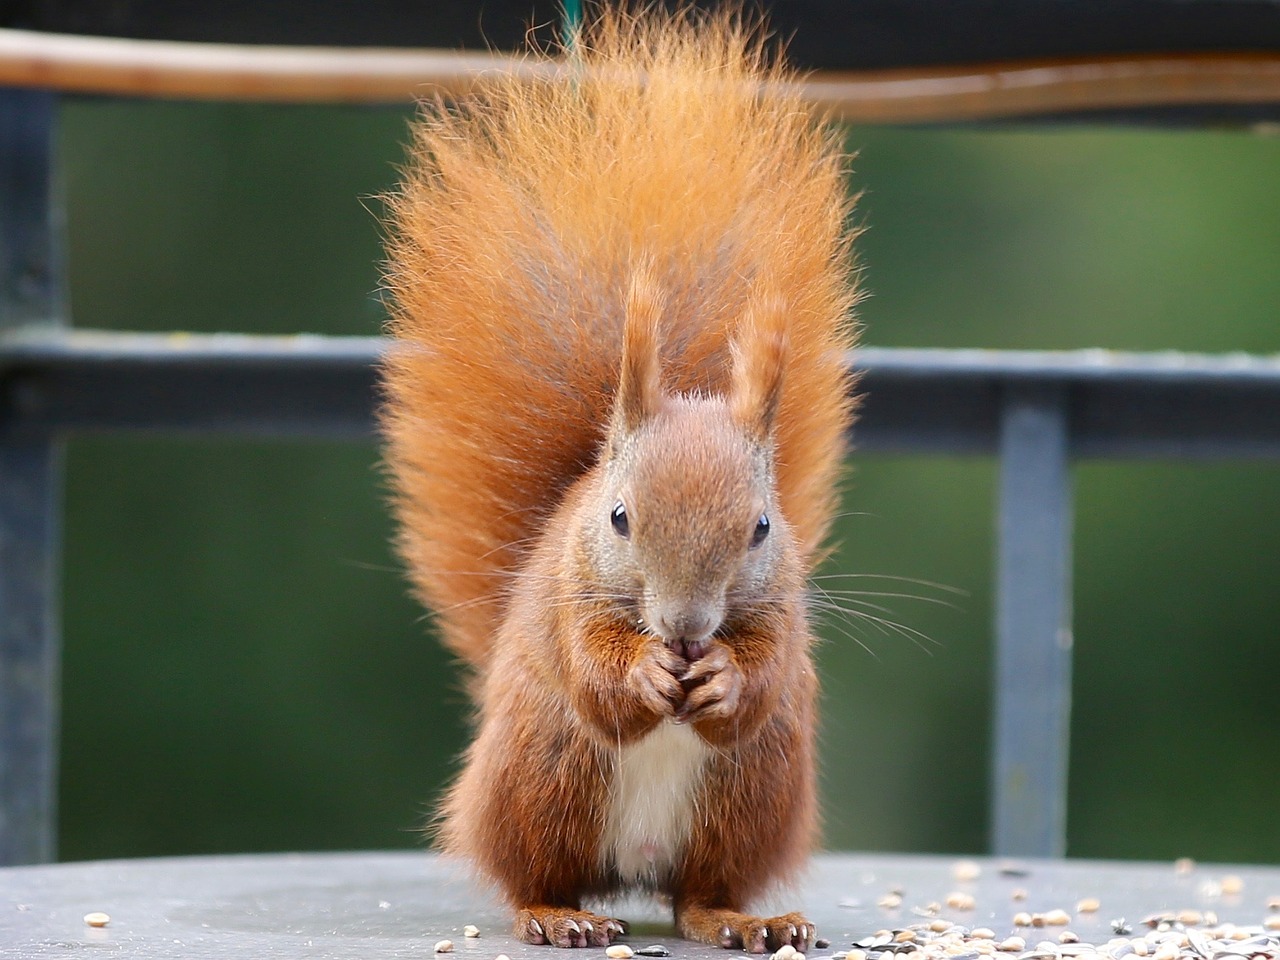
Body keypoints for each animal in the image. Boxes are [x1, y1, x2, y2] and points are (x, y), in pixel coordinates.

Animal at [378, 5, 860, 957]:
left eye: (762, 527)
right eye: (619, 518)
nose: (685, 631)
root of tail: (631, 869)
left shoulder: (780, 608)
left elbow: (761, 679)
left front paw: (724, 679)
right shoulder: (571, 598)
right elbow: (596, 675)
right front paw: (640, 676)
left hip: (748, 796)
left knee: (698, 892)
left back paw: (744, 919)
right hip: (543, 776)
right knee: (533, 870)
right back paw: (556, 914)